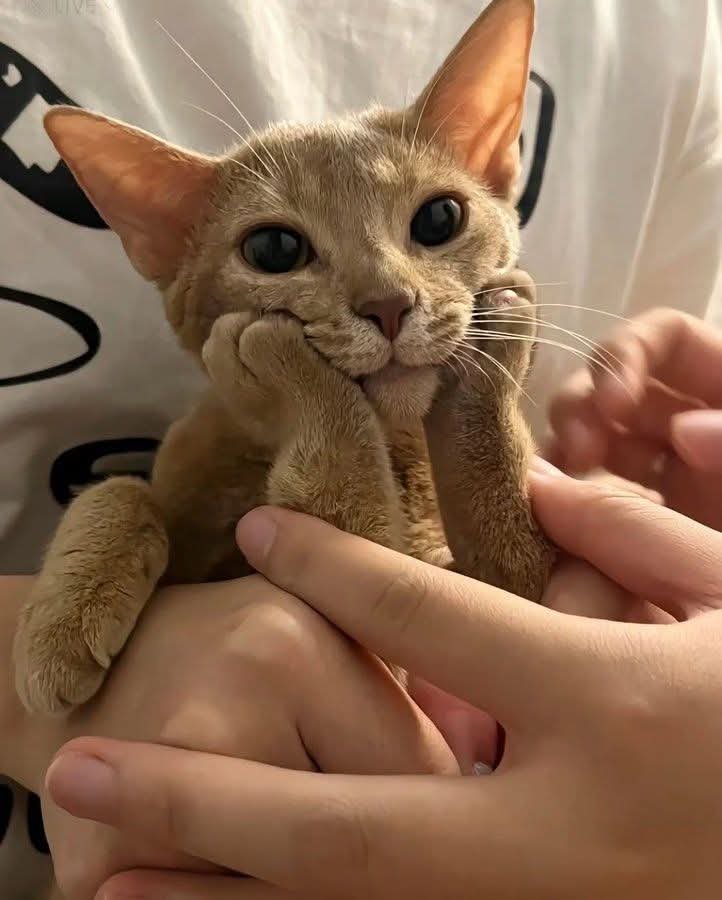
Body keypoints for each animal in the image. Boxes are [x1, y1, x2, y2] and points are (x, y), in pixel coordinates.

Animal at [13, 0, 554, 715]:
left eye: (440, 218)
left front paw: (492, 360)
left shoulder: (485, 600)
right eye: (274, 250)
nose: (388, 304)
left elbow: (482, 560)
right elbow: (121, 485)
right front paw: (62, 621)